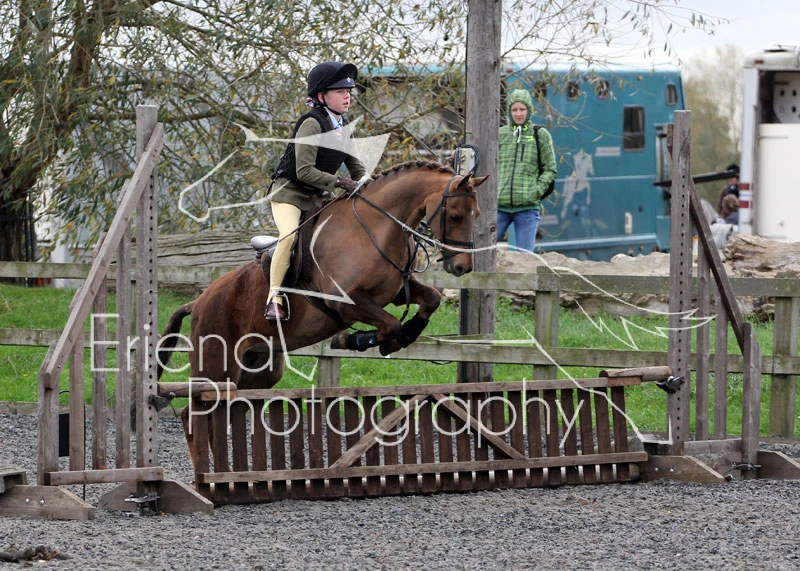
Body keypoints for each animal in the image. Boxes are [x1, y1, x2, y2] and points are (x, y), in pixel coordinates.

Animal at [156, 160, 488, 462]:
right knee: (192, 415)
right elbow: (391, 325)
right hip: (216, 367)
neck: (375, 229)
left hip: (257, 370)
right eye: (455, 215)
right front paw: (362, 340)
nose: (462, 267)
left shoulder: (393, 293)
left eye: (476, 215)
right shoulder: (346, 302)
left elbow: (430, 299)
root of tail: (198, 302)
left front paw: (397, 337)